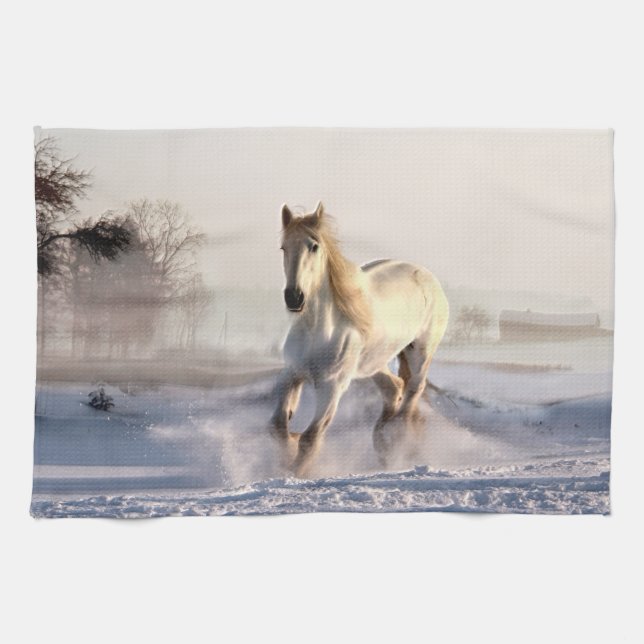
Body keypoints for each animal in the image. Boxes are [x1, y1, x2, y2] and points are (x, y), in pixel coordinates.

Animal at [269, 202, 449, 477]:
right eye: (283, 247)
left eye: (314, 246)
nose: (294, 297)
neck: (317, 329)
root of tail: (428, 277)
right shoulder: (292, 373)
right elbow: (278, 426)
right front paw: (288, 448)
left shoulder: (332, 386)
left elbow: (310, 438)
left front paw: (295, 473)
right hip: (373, 363)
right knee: (394, 388)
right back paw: (382, 442)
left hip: (420, 352)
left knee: (411, 394)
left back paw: (394, 442)